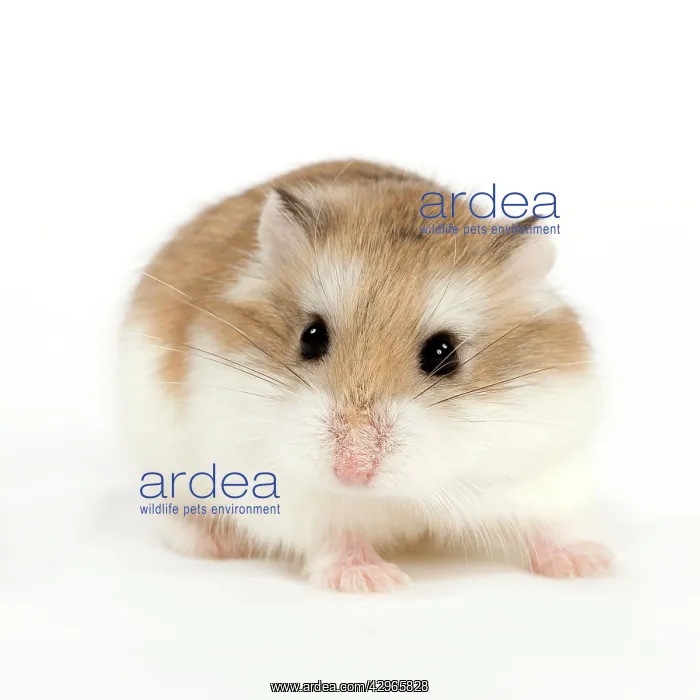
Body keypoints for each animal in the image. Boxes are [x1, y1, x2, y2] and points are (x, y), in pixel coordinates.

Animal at [119, 159, 613, 593]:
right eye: (311, 337)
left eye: (444, 354)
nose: (353, 472)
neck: (394, 496)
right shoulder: (282, 488)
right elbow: (337, 535)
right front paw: (373, 582)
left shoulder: (542, 469)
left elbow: (549, 526)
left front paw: (591, 564)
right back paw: (213, 542)